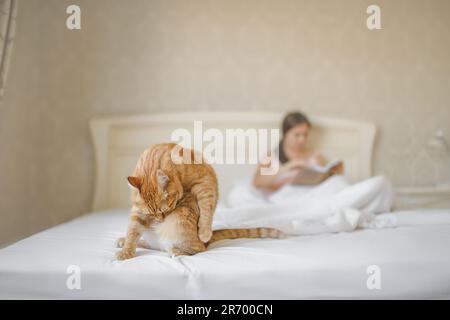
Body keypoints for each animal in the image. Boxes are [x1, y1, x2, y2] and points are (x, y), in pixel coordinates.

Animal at [117, 143, 284, 260]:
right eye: (151, 214)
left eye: (165, 210)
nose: (160, 220)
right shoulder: (138, 213)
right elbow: (132, 232)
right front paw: (126, 250)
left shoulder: (204, 183)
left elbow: (206, 209)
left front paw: (204, 230)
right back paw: (124, 240)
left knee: (197, 248)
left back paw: (179, 250)